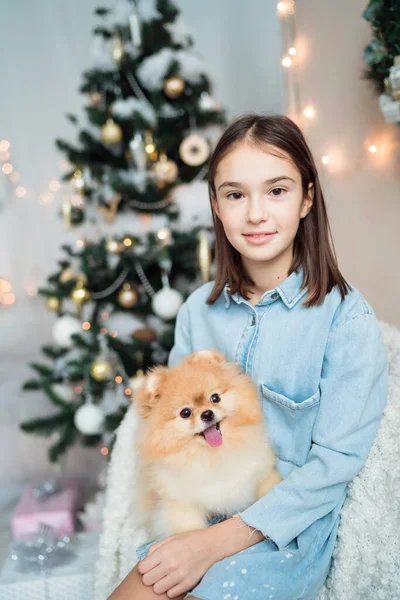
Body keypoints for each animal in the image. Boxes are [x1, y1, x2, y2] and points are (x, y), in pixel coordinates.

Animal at [134, 346, 282, 540]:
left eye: (215, 398)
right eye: (185, 413)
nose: (207, 414)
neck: (213, 456)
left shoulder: (260, 473)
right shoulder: (180, 504)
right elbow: (189, 528)